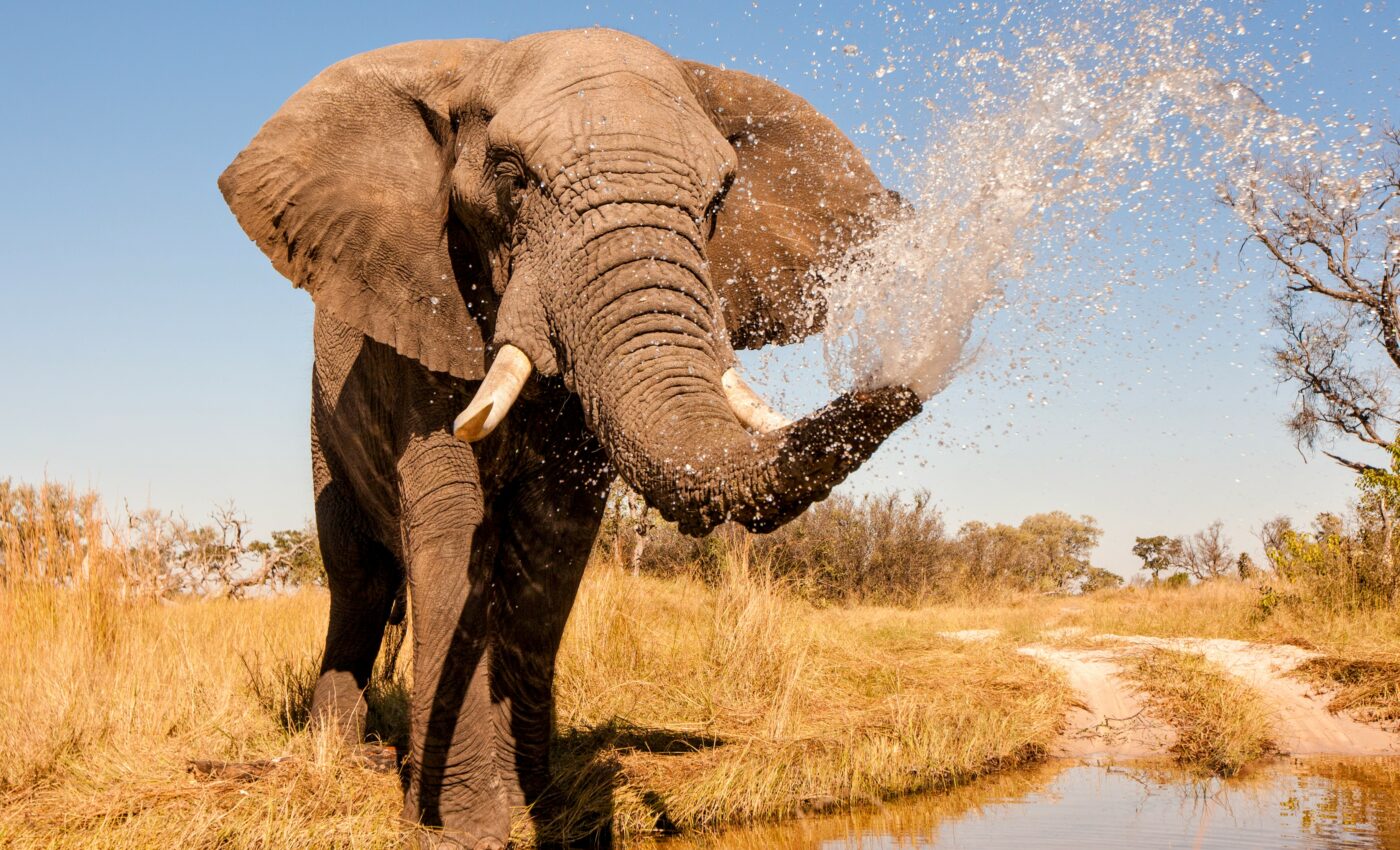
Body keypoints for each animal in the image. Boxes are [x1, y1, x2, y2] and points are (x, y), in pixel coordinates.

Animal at [219, 28, 921, 847]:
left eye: (719, 199)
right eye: (512, 177)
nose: (916, 370)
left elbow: (551, 541)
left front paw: (544, 810)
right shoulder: (415, 316)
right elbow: (451, 527)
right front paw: (457, 830)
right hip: (322, 429)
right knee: (357, 580)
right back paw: (337, 751)